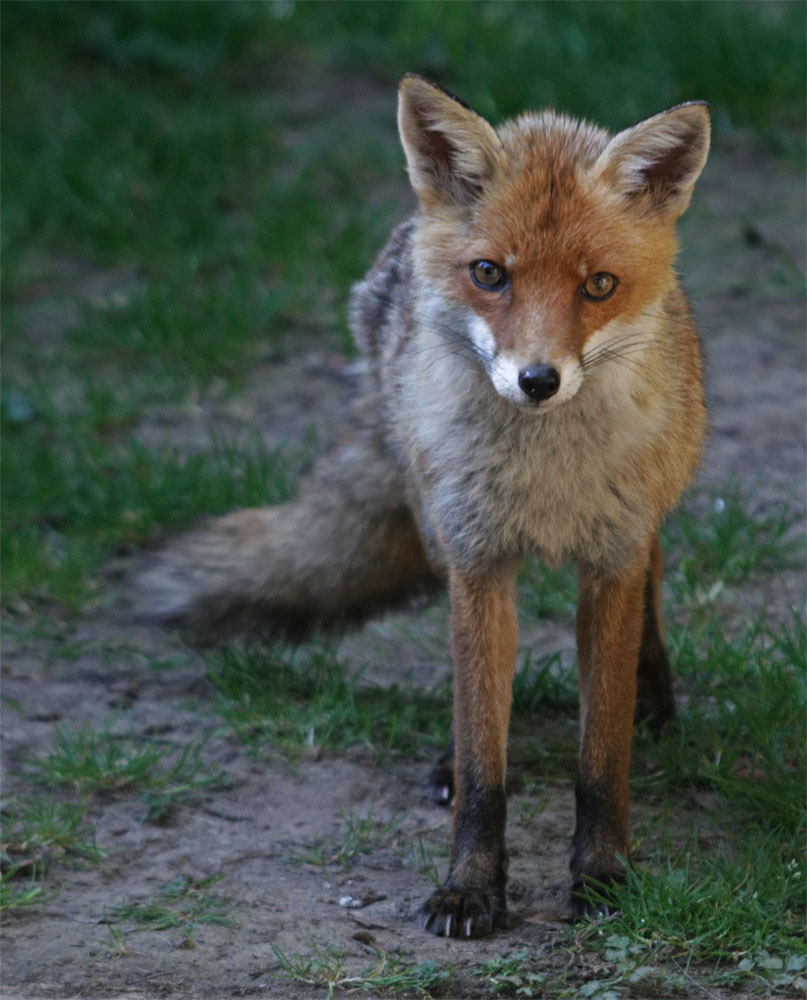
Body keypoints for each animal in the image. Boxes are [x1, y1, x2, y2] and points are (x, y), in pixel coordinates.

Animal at [138, 75, 710, 937]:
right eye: (490, 273)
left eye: (598, 285)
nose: (536, 380)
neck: (545, 477)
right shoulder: (476, 562)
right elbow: (483, 762)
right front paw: (470, 886)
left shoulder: (608, 558)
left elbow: (599, 759)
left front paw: (603, 874)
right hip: (435, 523)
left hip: (639, 514)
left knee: (656, 565)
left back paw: (656, 696)